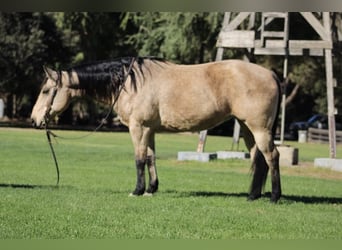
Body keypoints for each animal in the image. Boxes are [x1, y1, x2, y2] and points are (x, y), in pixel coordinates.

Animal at [30, 56, 280, 201]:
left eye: (45, 90)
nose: (34, 120)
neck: (129, 83)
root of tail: (271, 74)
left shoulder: (138, 128)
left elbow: (139, 159)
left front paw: (138, 190)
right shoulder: (149, 130)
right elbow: (150, 158)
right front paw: (151, 189)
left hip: (259, 128)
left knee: (272, 156)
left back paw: (275, 196)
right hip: (247, 128)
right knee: (258, 158)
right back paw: (253, 196)